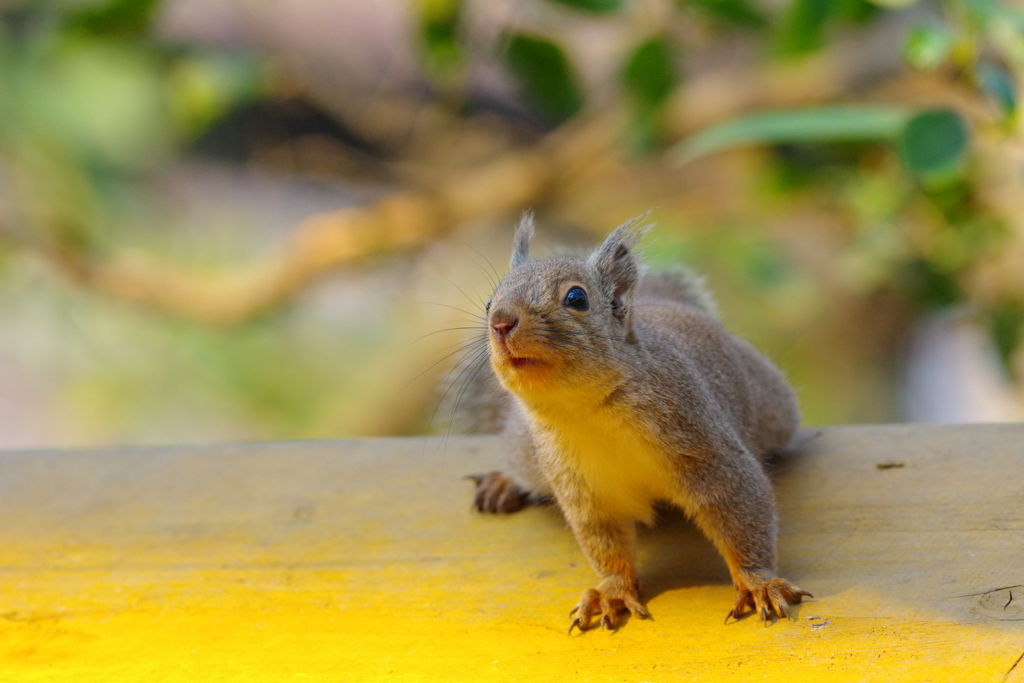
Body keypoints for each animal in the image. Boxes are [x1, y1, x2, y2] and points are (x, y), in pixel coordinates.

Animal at [458, 215, 806, 634]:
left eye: (577, 298)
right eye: (488, 302)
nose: (500, 322)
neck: (585, 408)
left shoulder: (705, 445)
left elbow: (741, 510)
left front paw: (759, 582)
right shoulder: (581, 485)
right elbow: (605, 544)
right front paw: (611, 591)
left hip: (774, 407)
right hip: (527, 453)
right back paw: (504, 481)